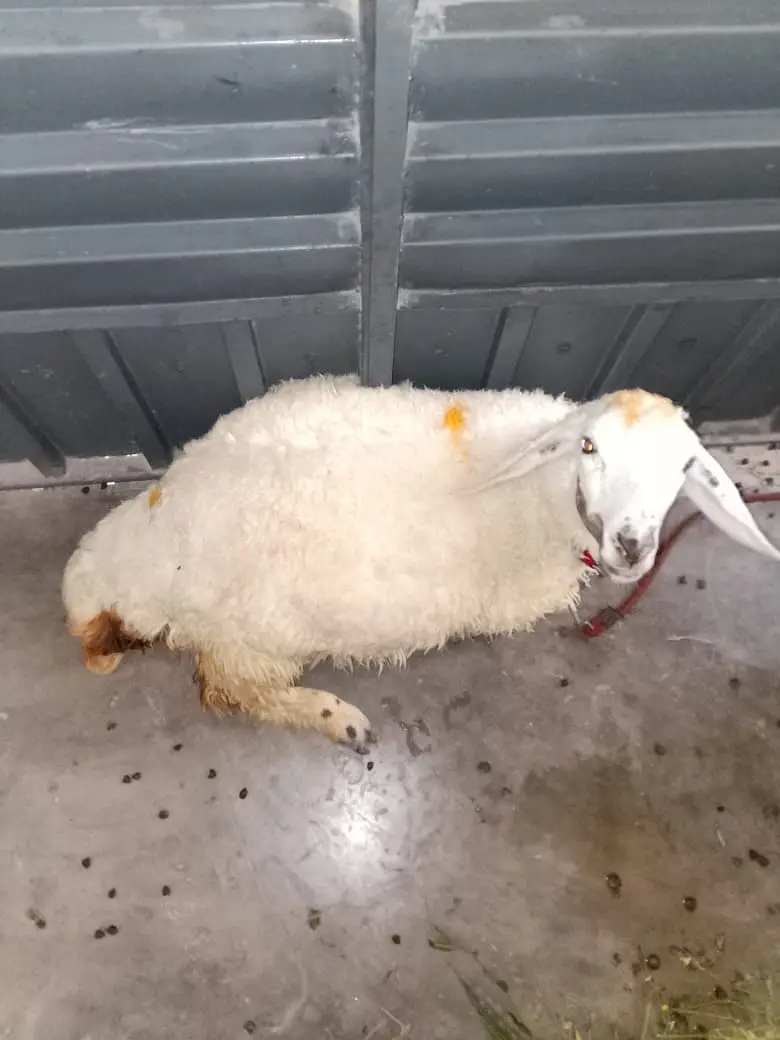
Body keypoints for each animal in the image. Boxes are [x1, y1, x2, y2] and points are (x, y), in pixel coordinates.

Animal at [62, 375, 780, 753]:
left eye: (685, 466)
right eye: (588, 447)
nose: (631, 545)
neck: (531, 487)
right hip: (252, 636)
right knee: (228, 691)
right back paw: (335, 717)